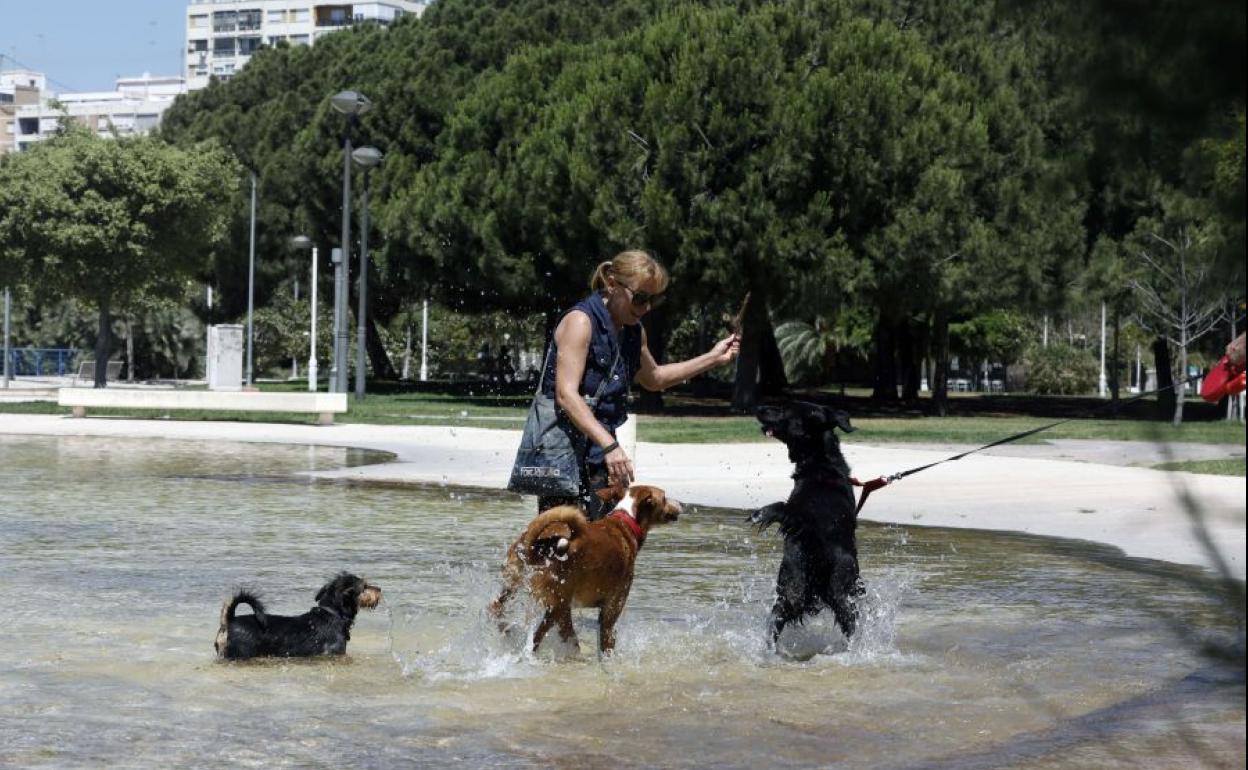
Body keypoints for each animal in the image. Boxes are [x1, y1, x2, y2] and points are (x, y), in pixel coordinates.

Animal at [486, 484, 683, 653]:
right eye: (664, 497)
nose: (680, 504)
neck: (626, 519)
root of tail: (536, 546)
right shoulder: (611, 611)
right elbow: (607, 647)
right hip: (558, 606)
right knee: (539, 637)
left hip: (515, 584)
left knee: (496, 607)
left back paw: (506, 631)